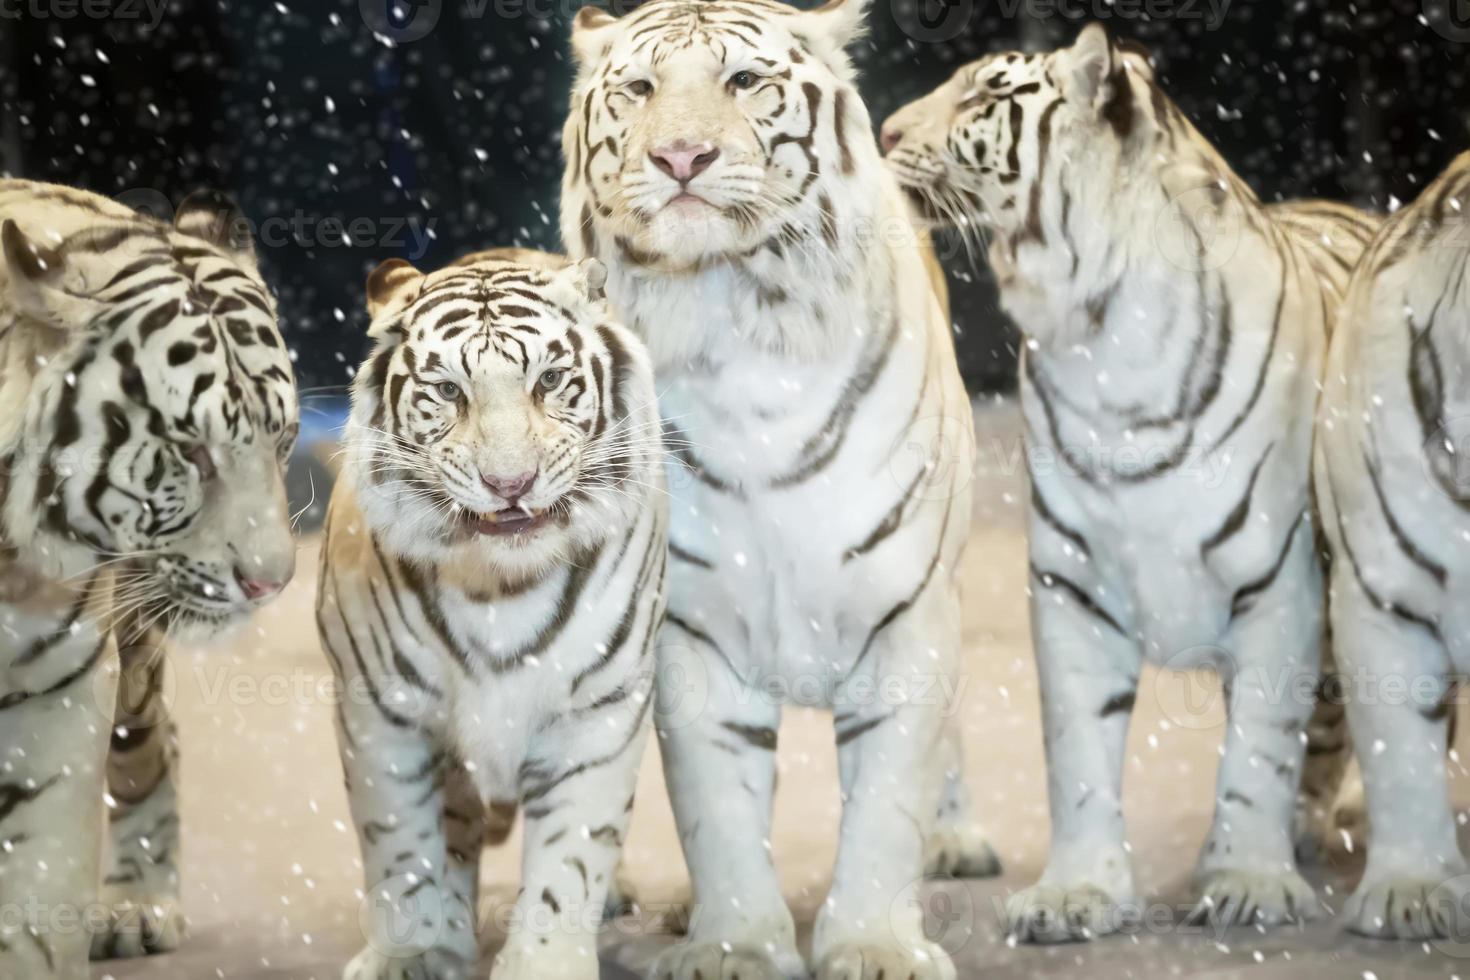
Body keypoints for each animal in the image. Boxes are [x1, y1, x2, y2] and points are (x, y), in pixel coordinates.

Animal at [318, 246, 670, 980]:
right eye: (449, 391)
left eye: (550, 380)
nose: (511, 484)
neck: (499, 588)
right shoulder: (380, 712)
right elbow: (399, 841)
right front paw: (411, 952)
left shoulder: (597, 712)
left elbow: (571, 857)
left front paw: (545, 963)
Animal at [882, 24, 1375, 940]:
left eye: (983, 94)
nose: (886, 131)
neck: (1105, 335)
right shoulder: (1071, 582)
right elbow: (1078, 751)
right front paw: (1077, 893)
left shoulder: (1281, 582)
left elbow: (1260, 745)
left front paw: (1249, 879)